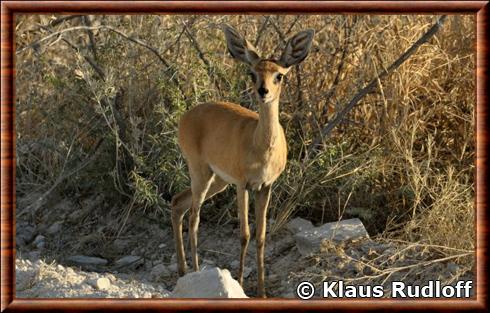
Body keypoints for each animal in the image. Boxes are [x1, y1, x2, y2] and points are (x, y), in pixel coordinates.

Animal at [169, 23, 314, 294]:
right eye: (252, 73)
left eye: (279, 75)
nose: (263, 91)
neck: (262, 147)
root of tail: (187, 115)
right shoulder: (242, 185)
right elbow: (245, 234)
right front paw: (240, 282)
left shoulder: (265, 187)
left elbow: (261, 236)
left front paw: (263, 291)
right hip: (201, 172)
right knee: (194, 216)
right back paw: (195, 270)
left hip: (216, 180)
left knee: (178, 202)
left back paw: (183, 270)